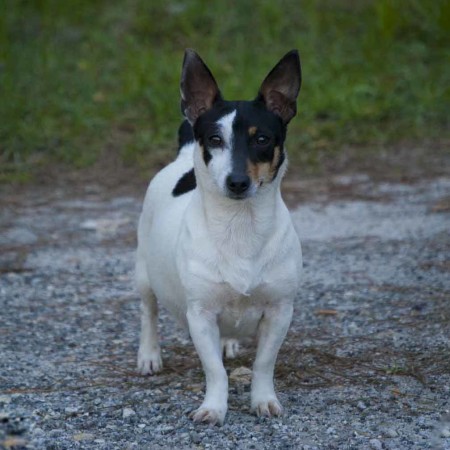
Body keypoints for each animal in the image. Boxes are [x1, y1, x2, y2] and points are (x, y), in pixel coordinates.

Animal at [134, 49, 302, 426]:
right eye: (214, 139)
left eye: (261, 139)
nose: (237, 181)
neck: (240, 226)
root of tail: (183, 154)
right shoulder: (200, 316)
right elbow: (215, 371)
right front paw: (213, 408)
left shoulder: (280, 311)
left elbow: (263, 364)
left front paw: (263, 400)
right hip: (143, 274)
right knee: (148, 312)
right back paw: (149, 355)